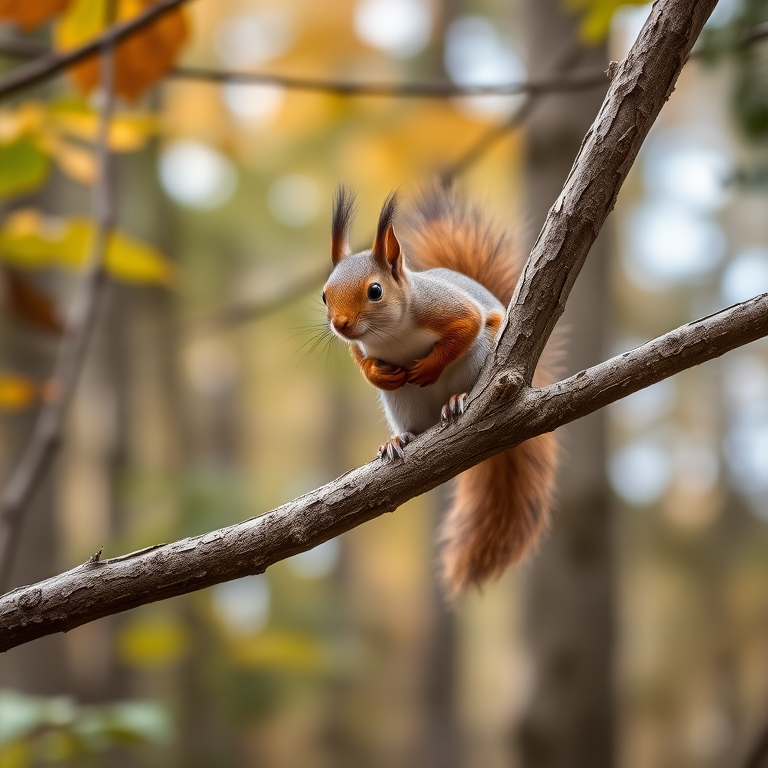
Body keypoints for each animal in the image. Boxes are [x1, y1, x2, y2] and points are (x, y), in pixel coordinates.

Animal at [322, 184, 558, 599]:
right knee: (412, 425)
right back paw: (398, 440)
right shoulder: (361, 347)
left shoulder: (447, 310)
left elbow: (466, 326)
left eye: (375, 291)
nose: (340, 324)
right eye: (324, 295)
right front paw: (379, 374)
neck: (391, 335)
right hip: (403, 405)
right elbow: (362, 361)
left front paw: (428, 367)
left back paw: (456, 400)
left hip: (481, 359)